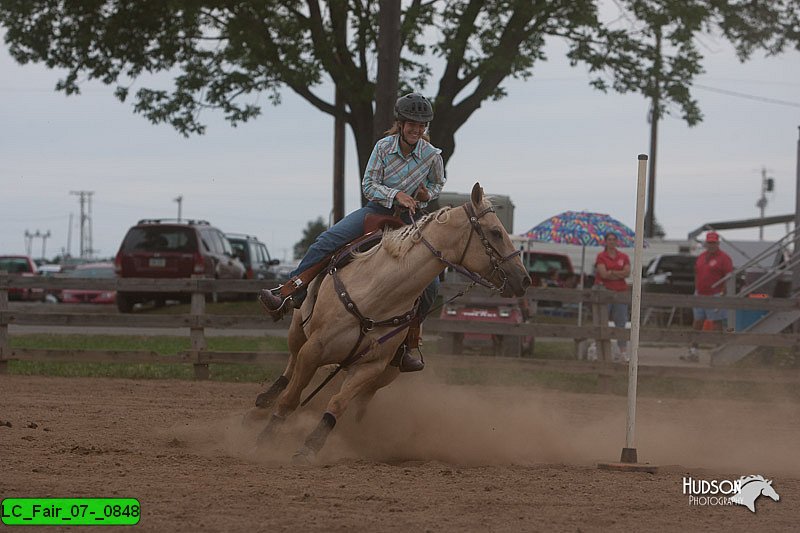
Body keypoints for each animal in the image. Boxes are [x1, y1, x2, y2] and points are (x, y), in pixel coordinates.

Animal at [253, 183, 536, 462]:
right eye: (496, 232)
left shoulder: (372, 367)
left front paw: (310, 447)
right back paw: (265, 398)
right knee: (291, 364)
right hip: (298, 331)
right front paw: (265, 440)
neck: (378, 292)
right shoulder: (314, 349)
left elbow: (338, 403)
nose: (524, 279)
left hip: (385, 375)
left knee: (359, 405)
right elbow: (290, 399)